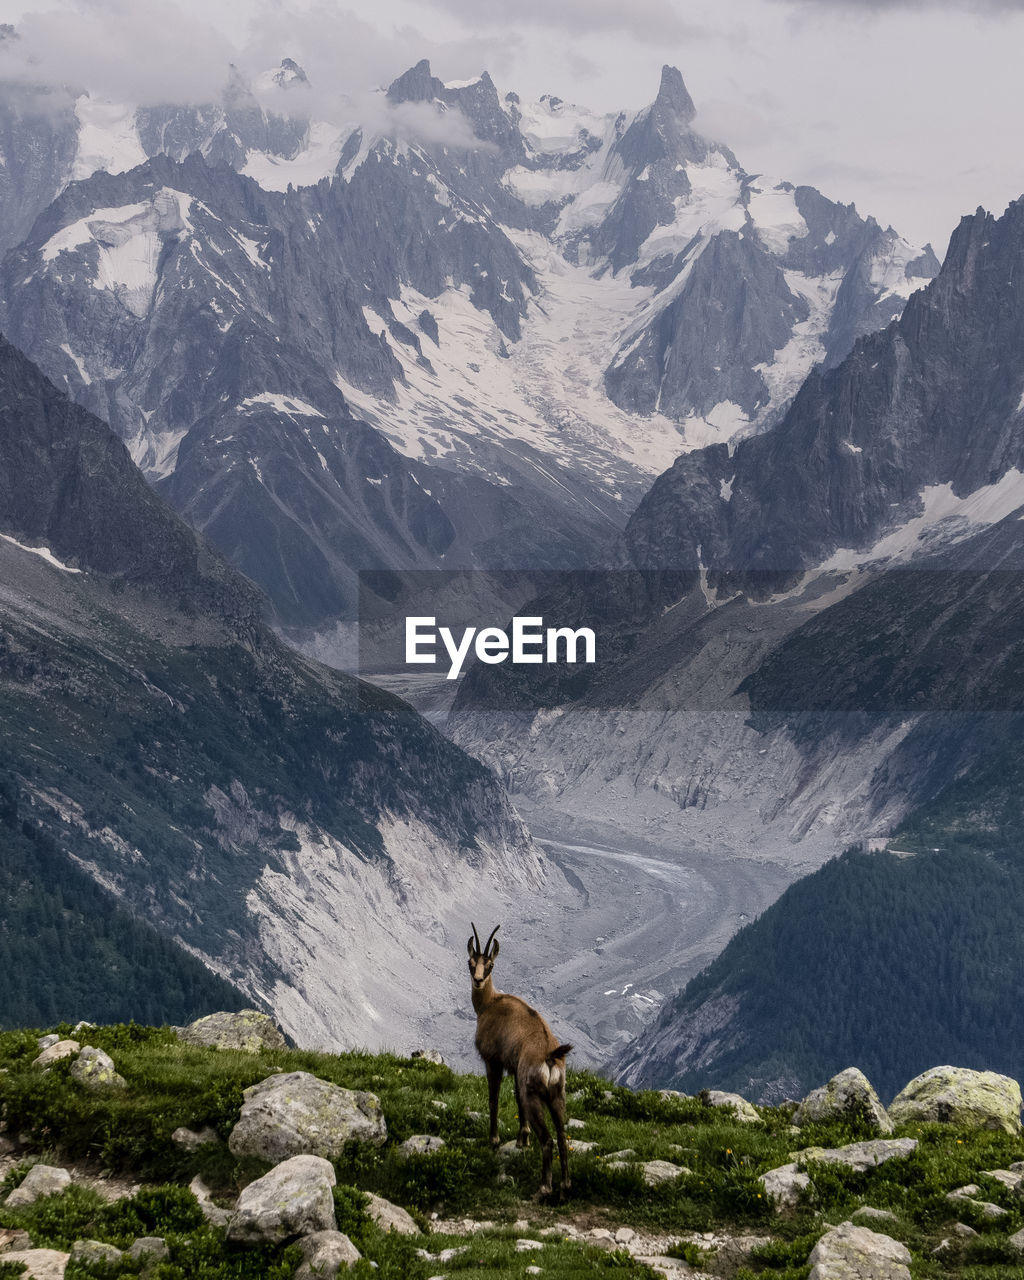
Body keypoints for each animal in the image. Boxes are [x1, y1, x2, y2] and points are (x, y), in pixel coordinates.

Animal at [467, 923, 572, 1198]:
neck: (490, 1004)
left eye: (490, 964)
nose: (478, 980)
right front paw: (522, 1139)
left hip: (534, 1094)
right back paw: (565, 1186)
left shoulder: (493, 1061)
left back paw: (544, 1188)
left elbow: (493, 1100)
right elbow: (514, 1098)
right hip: (557, 1095)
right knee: (561, 1134)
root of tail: (550, 1057)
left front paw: (494, 1141)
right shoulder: (515, 1068)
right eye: (471, 962)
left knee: (547, 1139)